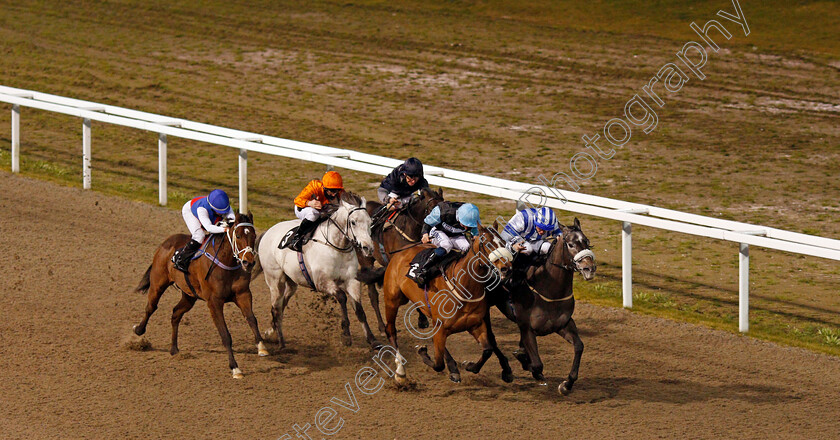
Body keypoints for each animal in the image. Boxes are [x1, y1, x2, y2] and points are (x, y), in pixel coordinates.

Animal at [133, 212, 264, 378]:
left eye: (254, 236)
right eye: (239, 235)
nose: (249, 263)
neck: (226, 262)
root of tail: (165, 243)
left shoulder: (243, 294)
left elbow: (252, 319)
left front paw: (262, 347)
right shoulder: (214, 302)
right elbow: (225, 335)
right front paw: (235, 368)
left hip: (189, 296)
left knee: (176, 313)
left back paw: (174, 349)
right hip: (158, 283)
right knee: (151, 307)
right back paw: (138, 330)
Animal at [366, 225, 516, 384]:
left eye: (503, 242)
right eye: (487, 243)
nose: (507, 268)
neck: (463, 287)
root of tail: (397, 254)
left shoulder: (476, 324)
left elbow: (487, 349)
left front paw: (470, 366)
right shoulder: (441, 327)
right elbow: (438, 364)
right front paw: (423, 352)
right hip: (392, 300)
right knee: (391, 331)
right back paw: (400, 371)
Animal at [486, 218, 596, 394]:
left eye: (586, 241)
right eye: (571, 244)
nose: (589, 268)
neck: (550, 290)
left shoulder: (563, 324)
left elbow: (579, 346)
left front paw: (567, 384)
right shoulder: (527, 327)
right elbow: (537, 364)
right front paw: (531, 367)